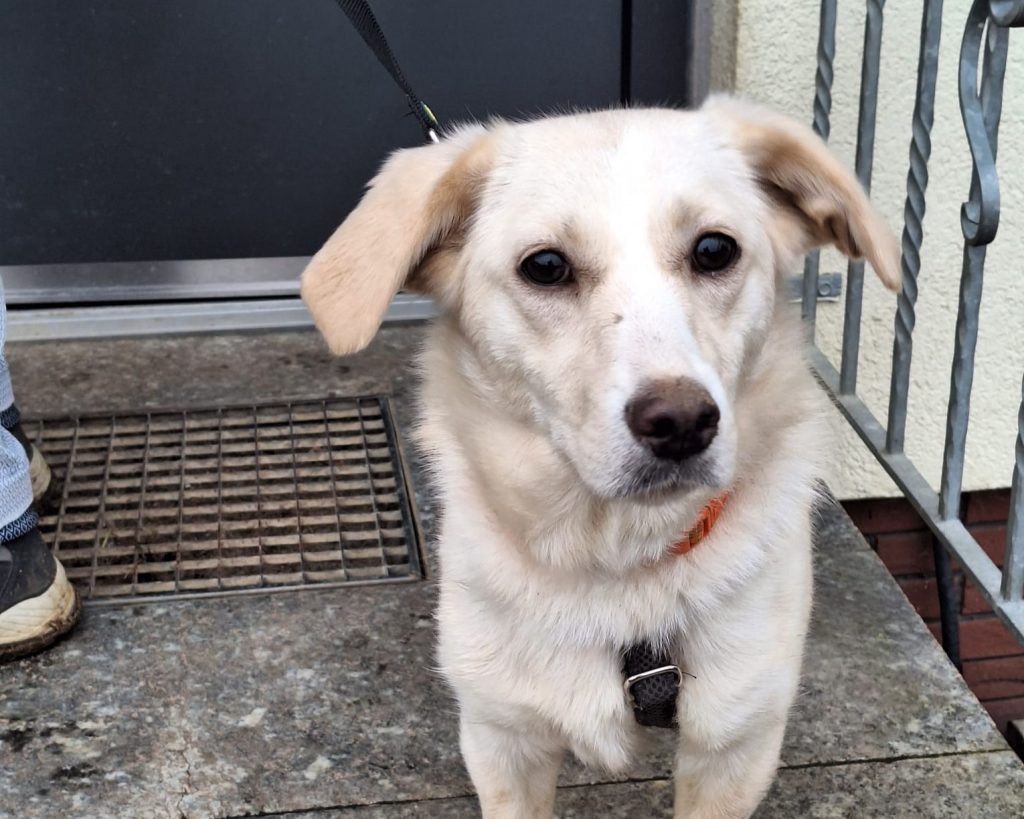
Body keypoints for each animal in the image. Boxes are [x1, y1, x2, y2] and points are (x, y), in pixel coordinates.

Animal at [302, 96, 900, 818]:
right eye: (545, 266)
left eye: (714, 249)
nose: (682, 423)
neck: (615, 563)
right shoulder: (502, 738)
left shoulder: (735, 746)